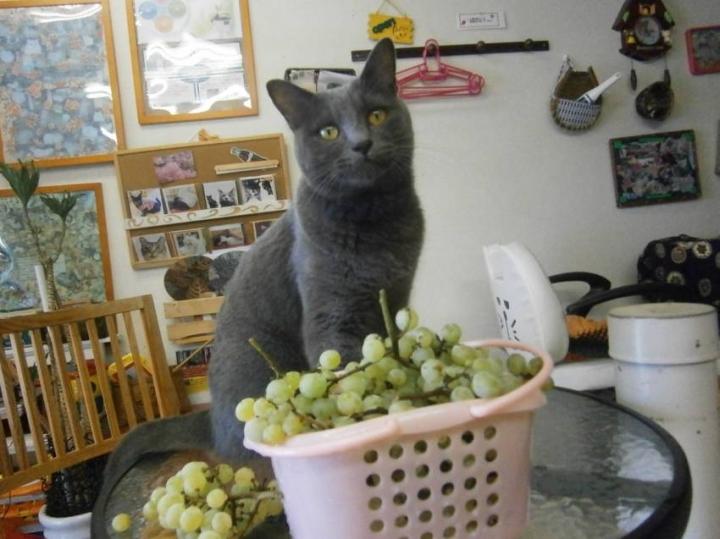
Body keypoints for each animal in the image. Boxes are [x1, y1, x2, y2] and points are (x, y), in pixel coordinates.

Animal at [92, 38, 423, 536]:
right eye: (329, 132)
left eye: (378, 114)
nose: (361, 143)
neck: (375, 222)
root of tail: (209, 420)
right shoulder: (333, 314)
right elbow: (347, 364)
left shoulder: (395, 297)